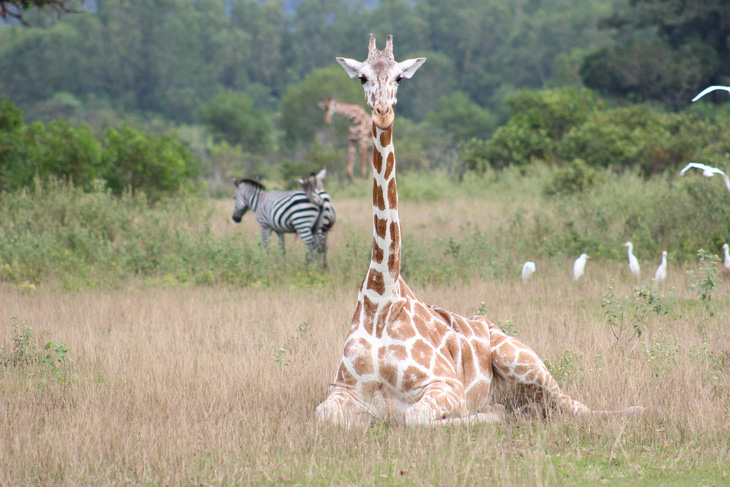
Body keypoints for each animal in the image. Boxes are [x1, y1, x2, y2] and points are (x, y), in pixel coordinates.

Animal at [314, 34, 644, 428]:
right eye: (362, 77)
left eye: (400, 78)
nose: (382, 112)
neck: (380, 299)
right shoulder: (339, 389)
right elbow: (325, 414)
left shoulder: (446, 385)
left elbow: (415, 418)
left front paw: (487, 413)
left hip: (520, 357)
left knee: (574, 407)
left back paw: (632, 409)